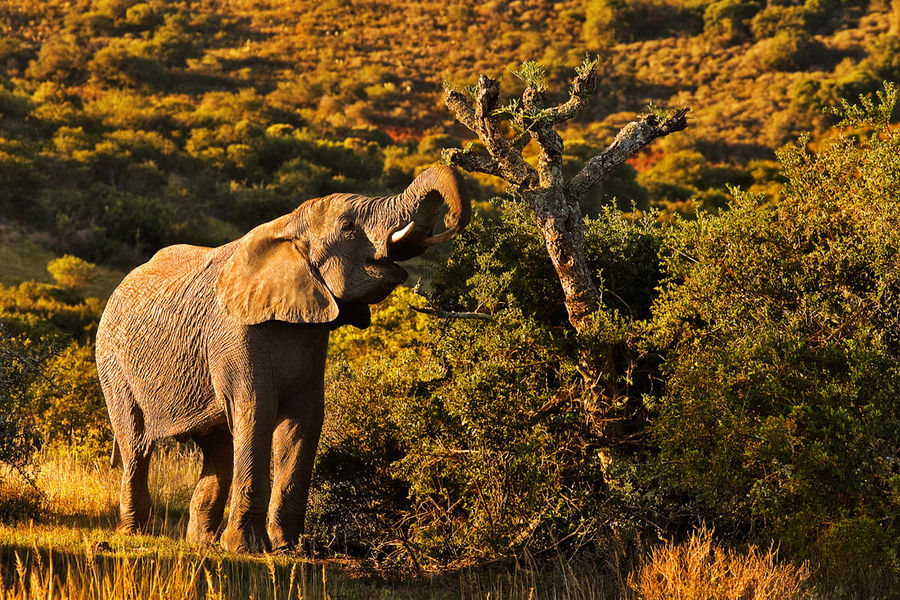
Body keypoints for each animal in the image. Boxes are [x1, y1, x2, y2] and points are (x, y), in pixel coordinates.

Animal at [96, 164, 472, 552]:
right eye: (348, 227)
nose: (453, 220)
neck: (288, 228)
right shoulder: (234, 332)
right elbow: (256, 410)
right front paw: (247, 549)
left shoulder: (310, 335)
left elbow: (304, 420)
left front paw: (287, 548)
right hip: (113, 364)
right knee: (136, 444)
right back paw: (134, 534)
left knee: (218, 447)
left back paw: (200, 545)